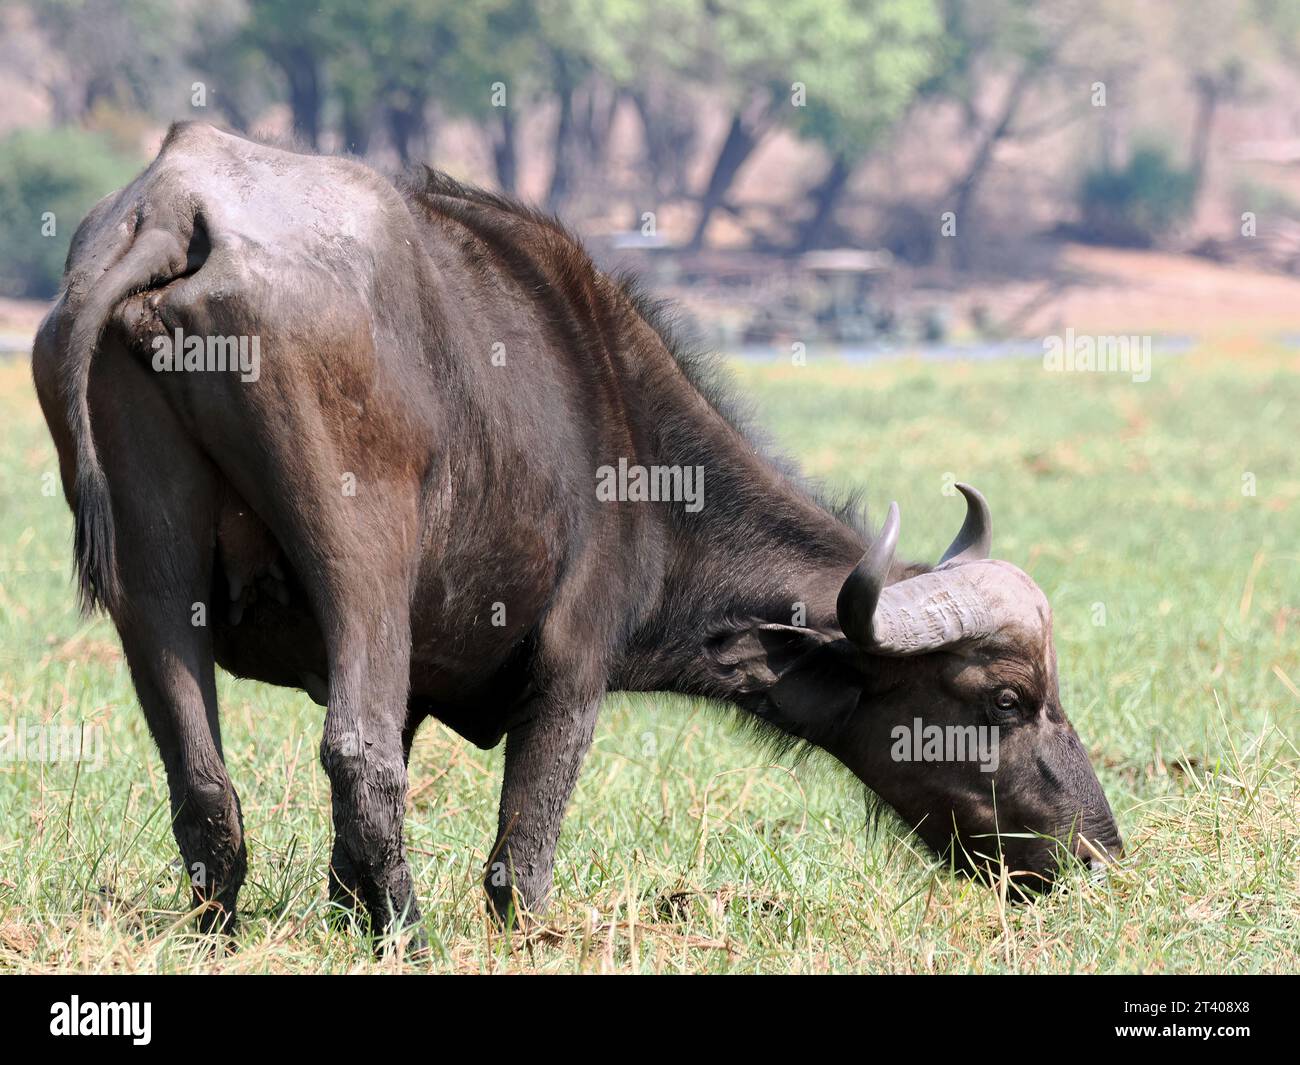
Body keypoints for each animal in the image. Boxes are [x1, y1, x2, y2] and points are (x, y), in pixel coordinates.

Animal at [35, 122, 1123, 941]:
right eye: (1005, 699)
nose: (1096, 849)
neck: (626, 431)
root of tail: (178, 208)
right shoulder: (572, 663)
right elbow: (520, 858)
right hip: (361, 559)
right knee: (356, 754)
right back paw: (409, 935)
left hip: (151, 578)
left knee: (204, 780)